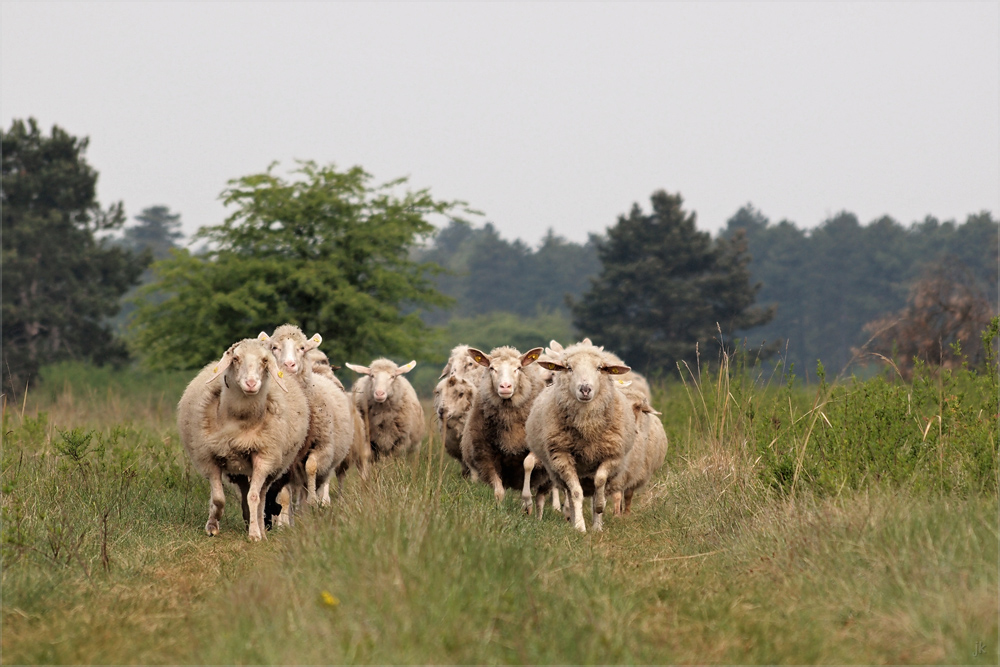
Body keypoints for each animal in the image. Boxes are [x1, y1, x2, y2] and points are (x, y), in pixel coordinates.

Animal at [177, 340, 308, 544]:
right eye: (236, 358)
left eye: (265, 360)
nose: (251, 383)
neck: (240, 423)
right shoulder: (209, 457)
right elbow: (218, 498)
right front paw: (212, 526)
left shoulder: (264, 458)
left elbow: (254, 497)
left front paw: (254, 534)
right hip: (238, 469)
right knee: (244, 491)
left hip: (271, 469)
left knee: (260, 496)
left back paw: (259, 528)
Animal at [262, 326, 356, 524]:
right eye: (274, 347)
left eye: (302, 348)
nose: (289, 365)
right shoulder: (285, 459)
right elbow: (284, 495)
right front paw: (283, 523)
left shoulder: (323, 446)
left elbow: (311, 467)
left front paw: (314, 502)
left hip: (330, 457)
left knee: (315, 481)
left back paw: (316, 505)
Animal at [458, 344, 552, 512]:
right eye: (492, 368)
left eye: (518, 368)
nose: (505, 386)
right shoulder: (485, 456)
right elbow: (498, 492)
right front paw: (499, 511)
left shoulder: (537, 448)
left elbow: (528, 463)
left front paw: (527, 501)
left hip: (547, 477)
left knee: (540, 499)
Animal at [528, 342, 636, 536]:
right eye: (569, 368)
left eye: (600, 368)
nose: (585, 389)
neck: (587, 424)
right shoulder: (562, 457)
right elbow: (576, 493)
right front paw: (579, 526)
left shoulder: (611, 456)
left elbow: (599, 483)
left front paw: (599, 508)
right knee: (571, 494)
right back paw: (573, 518)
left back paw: (597, 526)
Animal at [604, 380, 668, 516]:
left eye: (638, 407)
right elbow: (616, 495)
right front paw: (616, 515)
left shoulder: (634, 471)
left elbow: (627, 495)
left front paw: (625, 514)